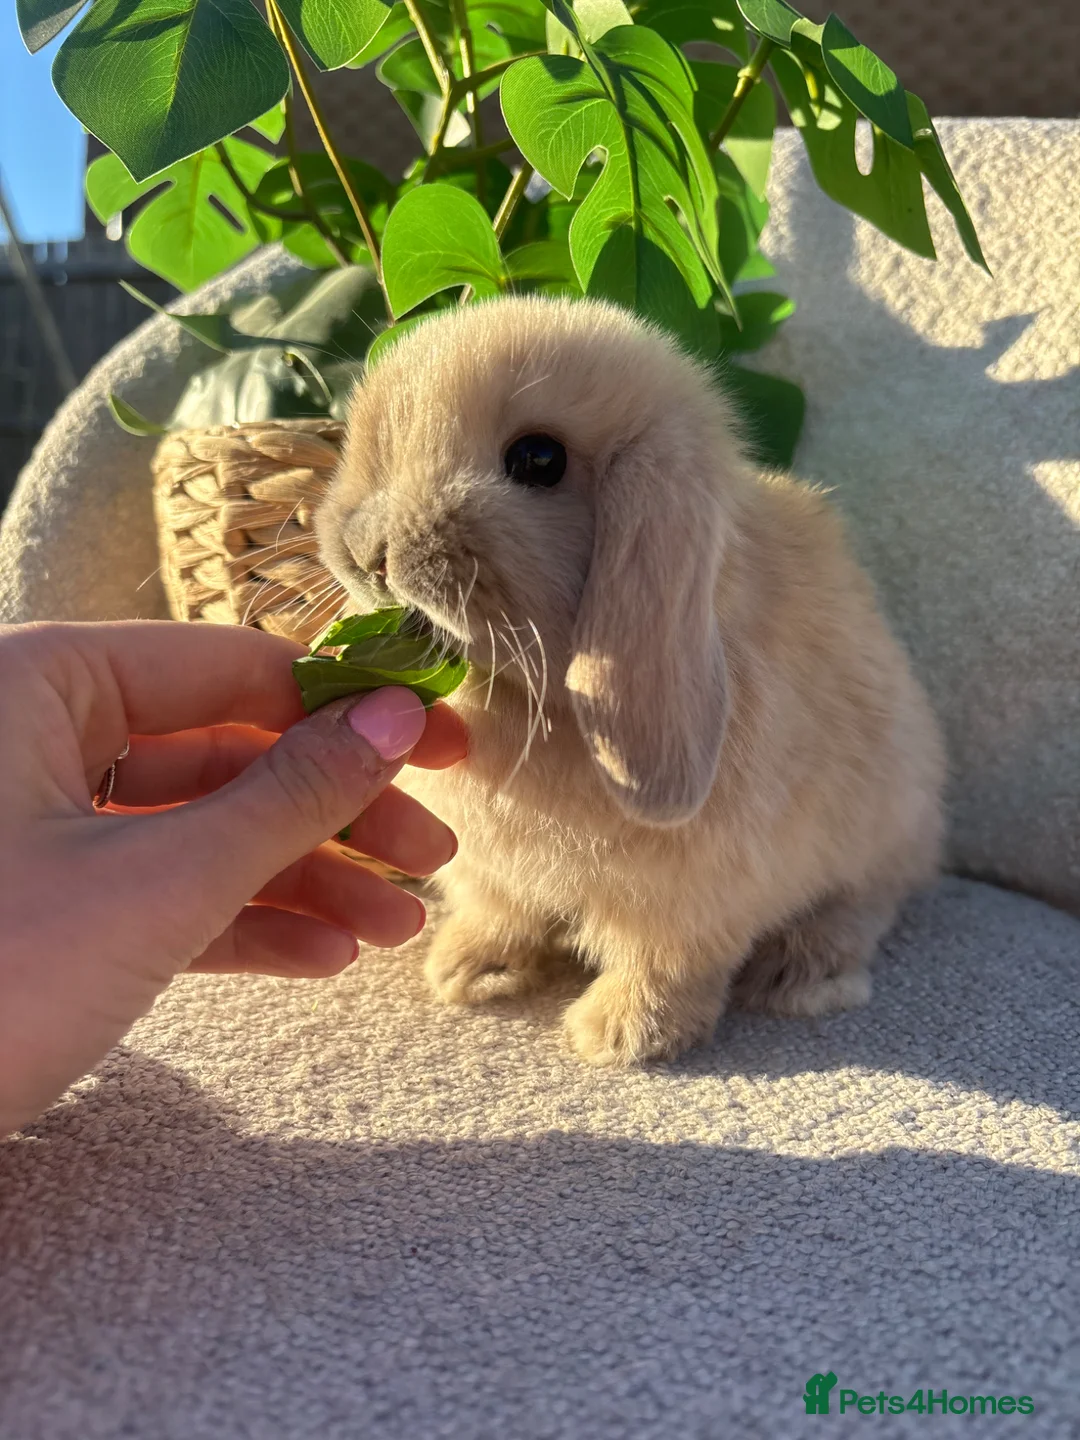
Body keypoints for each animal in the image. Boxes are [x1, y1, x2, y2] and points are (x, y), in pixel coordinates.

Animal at [316, 295, 945, 1066]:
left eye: (539, 460)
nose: (366, 552)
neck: (536, 702)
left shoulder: (691, 900)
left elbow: (666, 962)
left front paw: (621, 1036)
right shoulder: (494, 873)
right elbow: (500, 913)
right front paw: (468, 972)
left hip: (884, 823)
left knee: (869, 901)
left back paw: (801, 974)